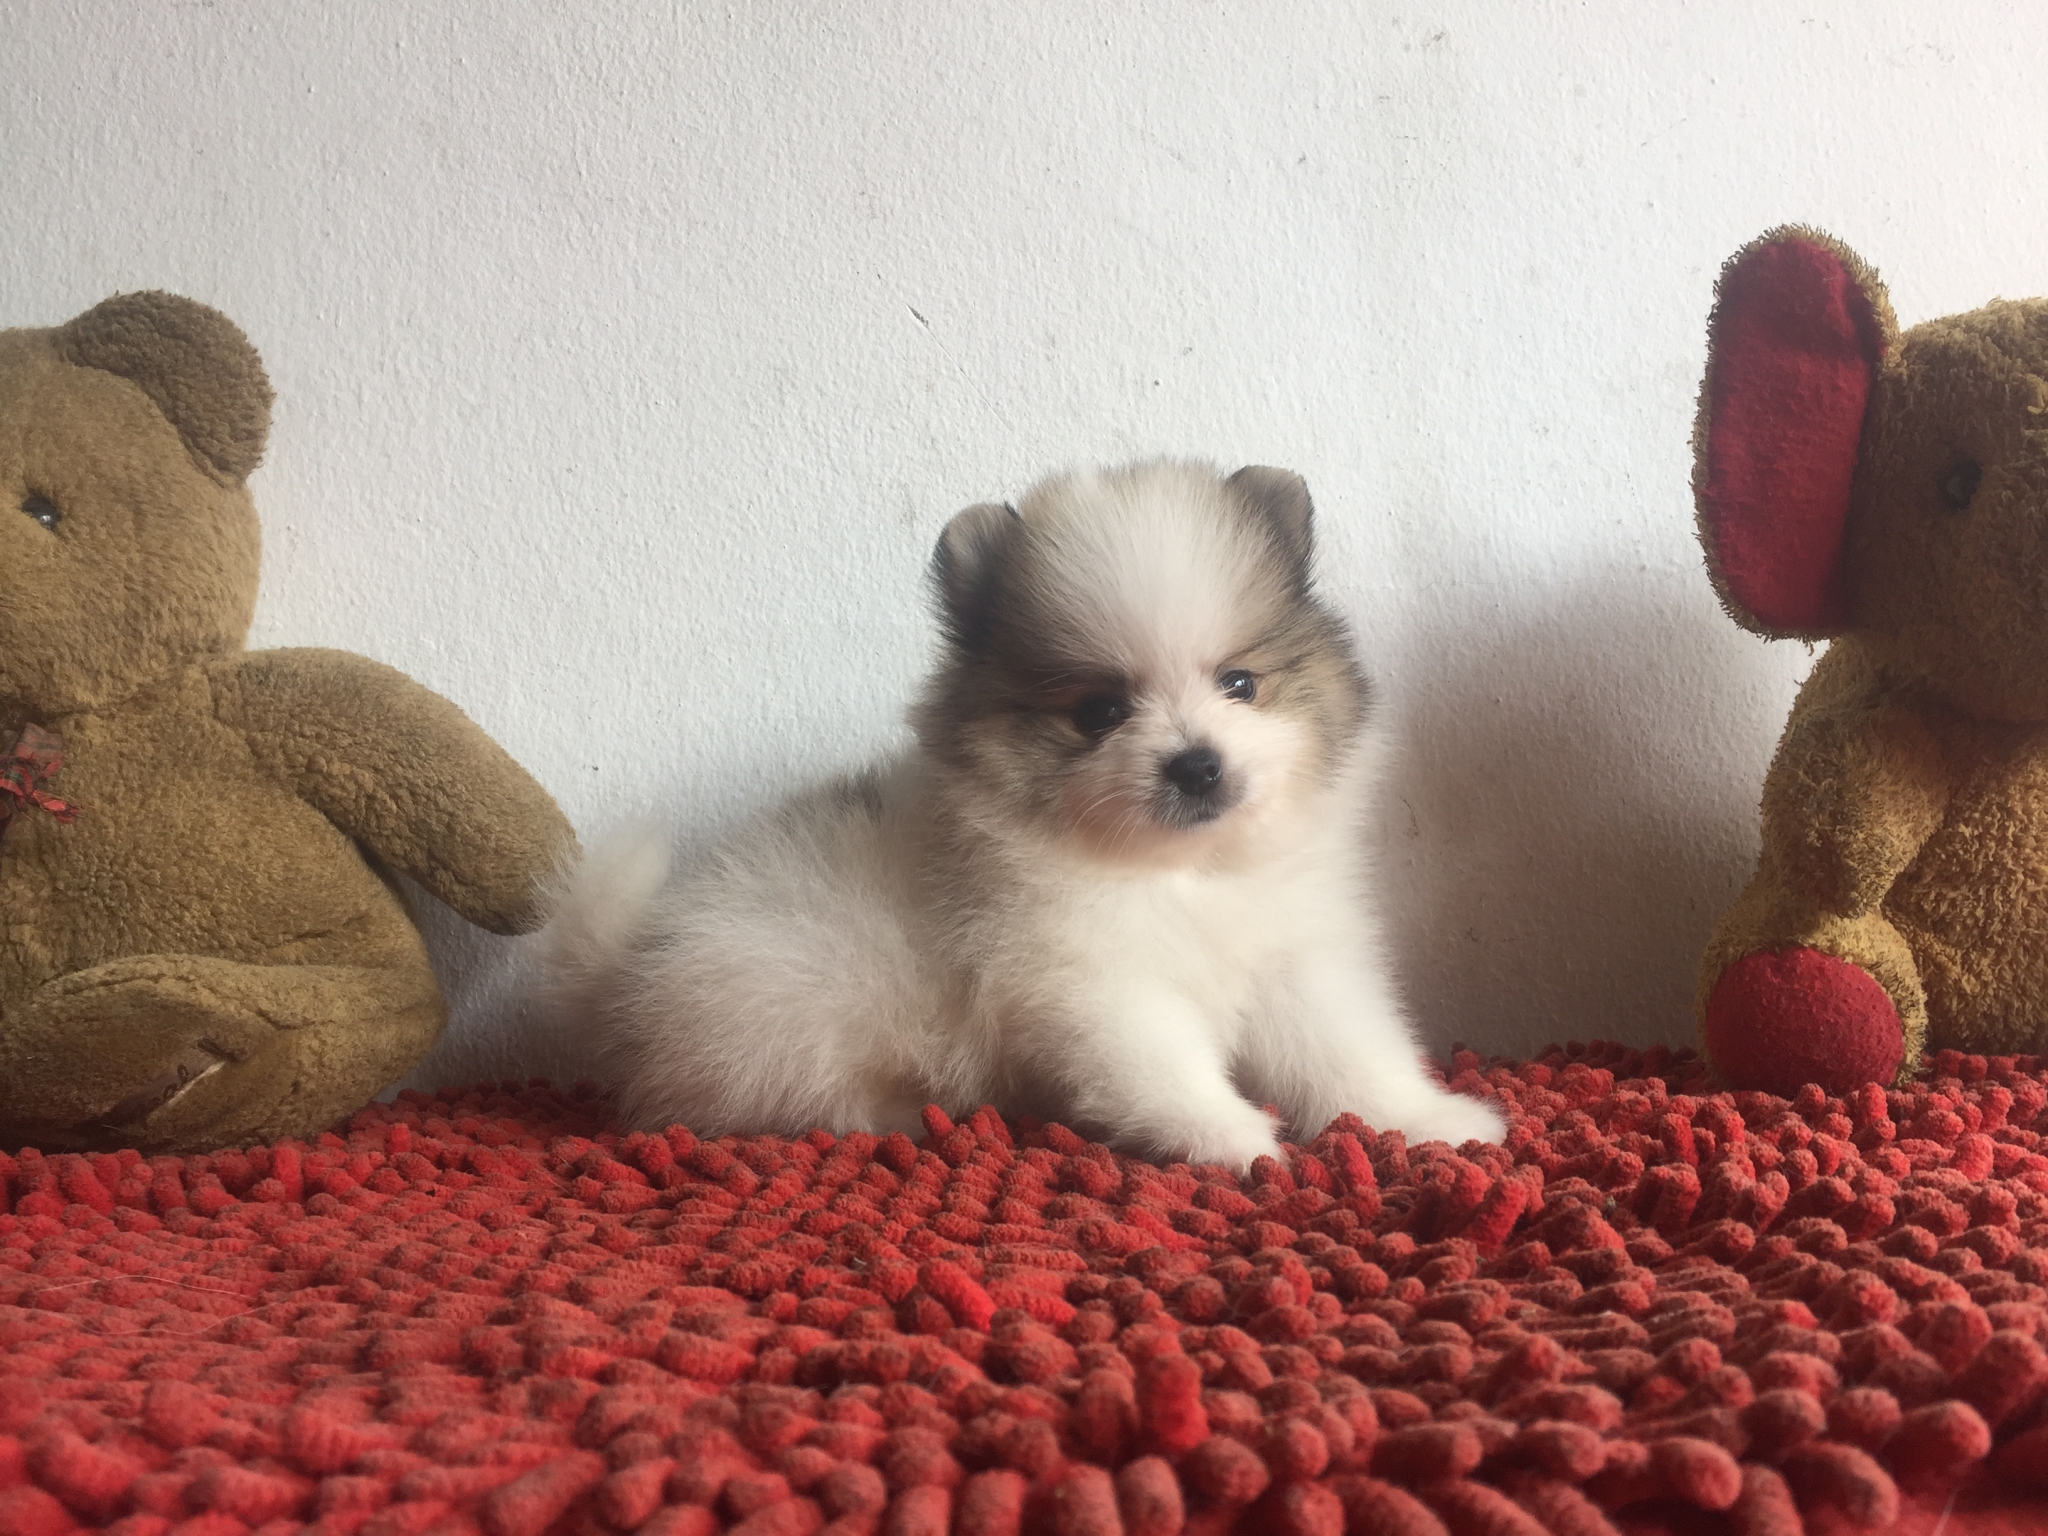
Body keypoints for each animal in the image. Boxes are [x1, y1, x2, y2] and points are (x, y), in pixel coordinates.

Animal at [540, 460, 1505, 1167]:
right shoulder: (1090, 982)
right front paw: (1232, 1137)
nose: (1196, 763)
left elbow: (1352, 1054)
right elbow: (1163, 1065)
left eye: (1241, 684)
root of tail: (634, 965)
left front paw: (1434, 1120)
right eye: (1100, 712)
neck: (1179, 873)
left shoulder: (1295, 960)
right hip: (784, 1014)